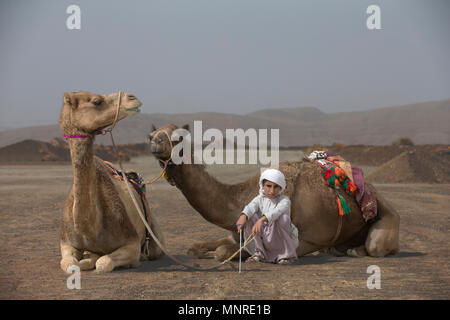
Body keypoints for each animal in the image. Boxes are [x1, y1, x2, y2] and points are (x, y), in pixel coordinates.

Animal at [59, 91, 164, 274]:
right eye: (97, 101)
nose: (132, 97)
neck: (90, 230)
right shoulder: (66, 242)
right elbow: (70, 264)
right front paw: (84, 261)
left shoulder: (132, 244)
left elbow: (103, 263)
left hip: (154, 237)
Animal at [149, 124, 400, 262]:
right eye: (152, 134)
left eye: (177, 138)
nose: (154, 142)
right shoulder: (234, 232)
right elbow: (196, 248)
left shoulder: (305, 241)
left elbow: (223, 252)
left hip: (386, 220)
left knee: (376, 247)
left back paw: (355, 251)